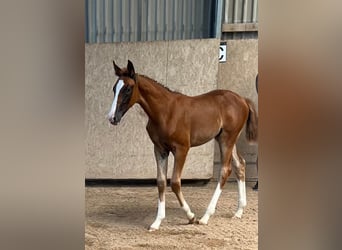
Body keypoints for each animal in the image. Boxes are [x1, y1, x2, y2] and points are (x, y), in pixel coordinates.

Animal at [107, 60, 256, 230]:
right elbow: (161, 182)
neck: (165, 112)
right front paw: (157, 222)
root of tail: (243, 100)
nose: (112, 118)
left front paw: (191, 216)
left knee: (225, 170)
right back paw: (238, 211)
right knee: (240, 165)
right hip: (226, 139)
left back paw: (205, 216)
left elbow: (175, 182)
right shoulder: (160, 149)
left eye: (128, 89)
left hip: (227, 139)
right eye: (114, 88)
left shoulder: (182, 149)